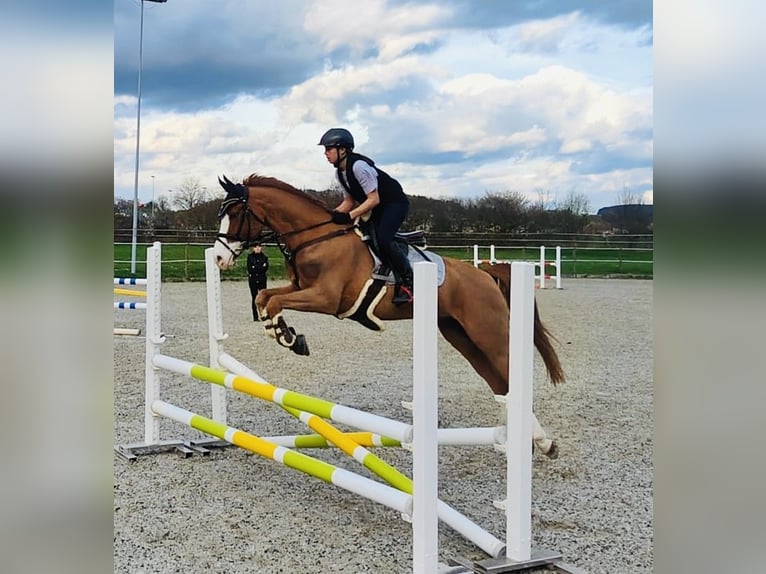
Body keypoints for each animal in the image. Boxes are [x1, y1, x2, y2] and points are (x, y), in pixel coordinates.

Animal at [213, 176, 568, 460]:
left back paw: (542, 441)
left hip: (488, 333)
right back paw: (530, 442)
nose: (218, 258)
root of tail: (485, 274)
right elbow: (265, 297)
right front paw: (285, 333)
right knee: (500, 384)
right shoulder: (301, 288)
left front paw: (287, 336)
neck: (317, 237)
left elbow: (273, 301)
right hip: (461, 336)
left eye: (235, 214)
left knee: (510, 375)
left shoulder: (324, 297)